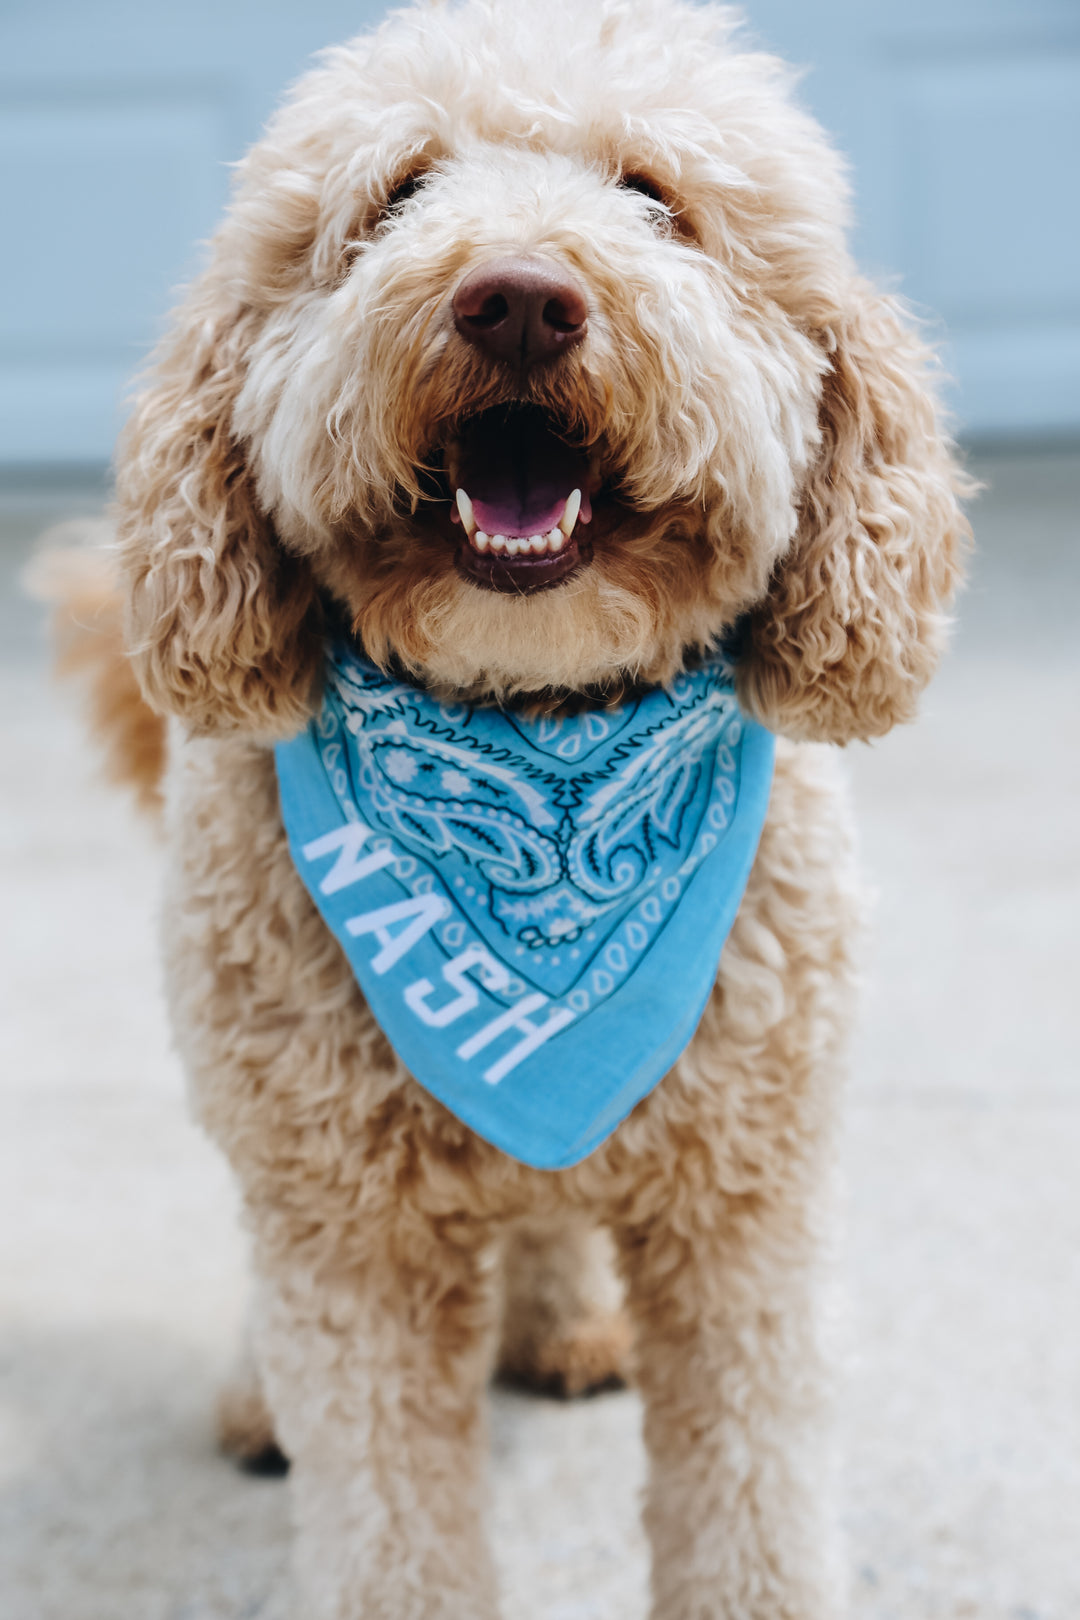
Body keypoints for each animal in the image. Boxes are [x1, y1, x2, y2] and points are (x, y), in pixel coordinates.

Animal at [42, 3, 971, 1620]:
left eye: (655, 195)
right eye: (399, 193)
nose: (521, 301)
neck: (541, 745)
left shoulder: (748, 1211)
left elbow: (753, 1496)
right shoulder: (346, 1232)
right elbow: (386, 1523)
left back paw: (564, 1322)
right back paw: (262, 1397)